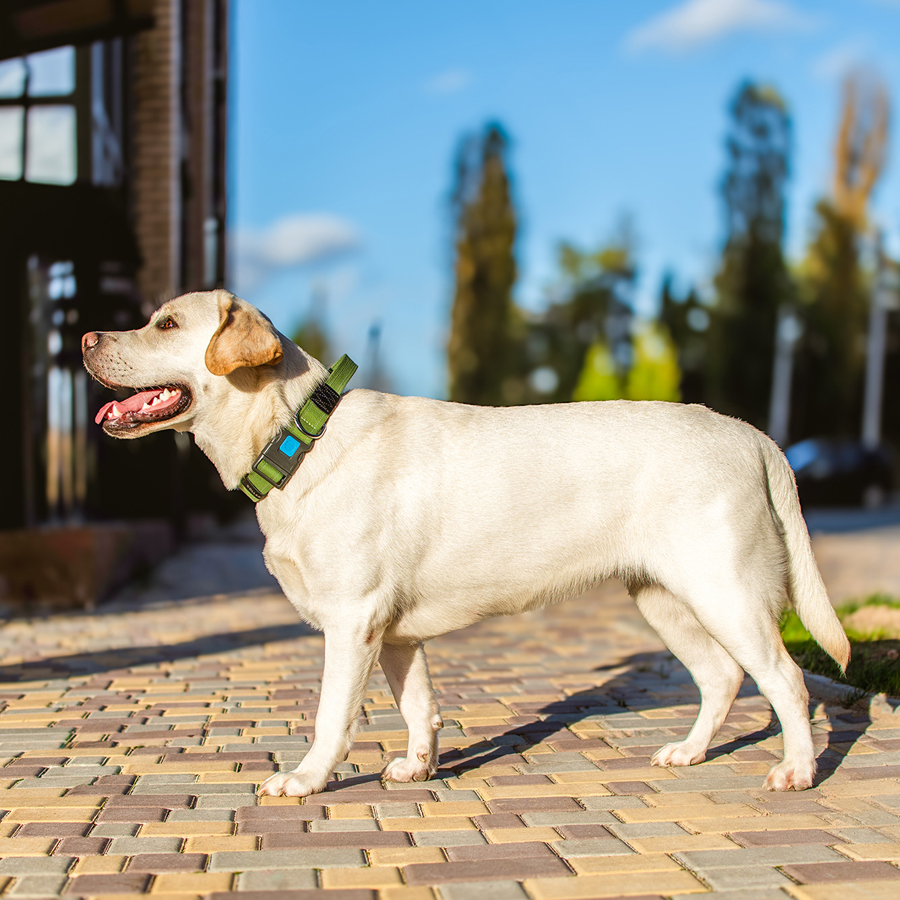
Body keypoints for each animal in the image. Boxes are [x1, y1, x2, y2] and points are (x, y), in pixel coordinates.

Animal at [82, 288, 852, 796]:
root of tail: (751, 434)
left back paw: (798, 770)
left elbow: (333, 716)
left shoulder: (352, 620)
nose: (87, 339)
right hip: (664, 598)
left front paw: (305, 779)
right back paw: (689, 753)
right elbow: (419, 706)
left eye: (166, 323)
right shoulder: (393, 633)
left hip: (726, 591)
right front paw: (418, 768)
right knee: (721, 677)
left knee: (784, 680)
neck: (298, 435)